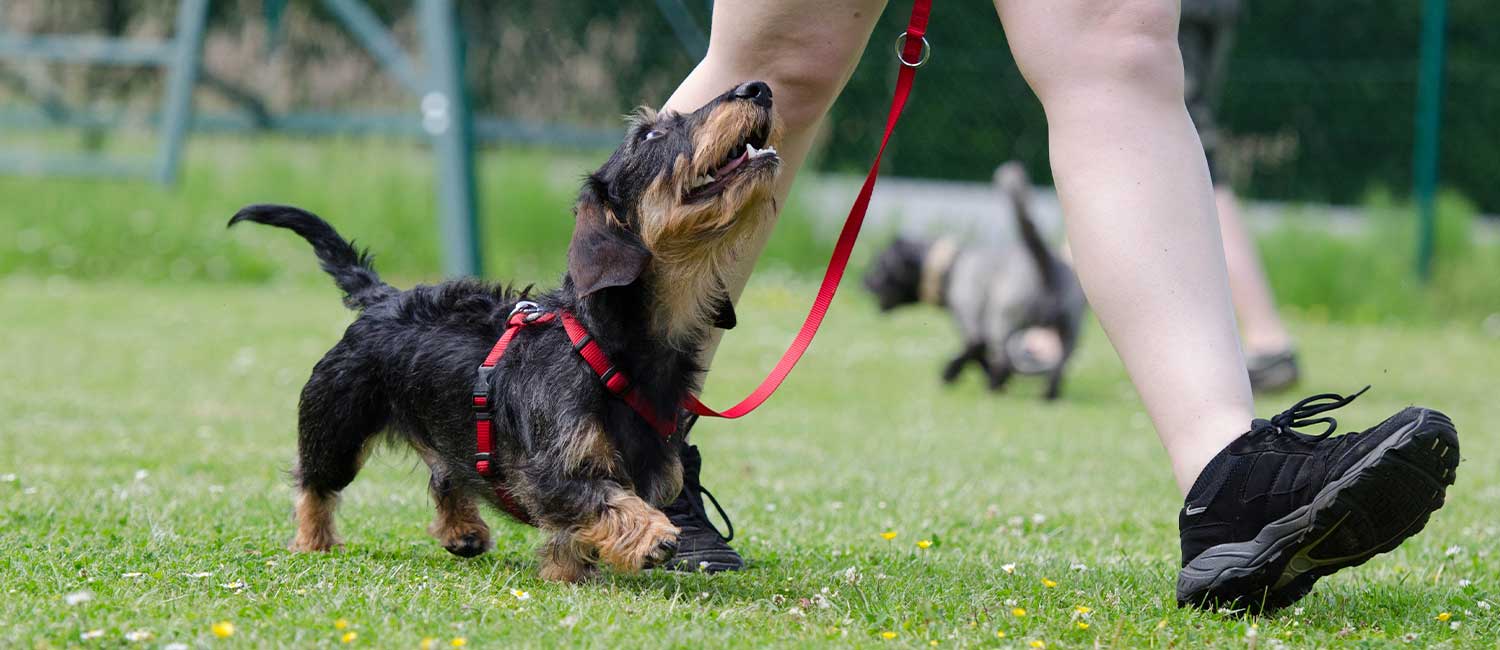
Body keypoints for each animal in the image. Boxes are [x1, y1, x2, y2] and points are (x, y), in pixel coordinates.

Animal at [231, 78, 786, 579]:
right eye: (650, 134)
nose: (757, 88)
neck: (605, 345)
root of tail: (384, 298)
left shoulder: (654, 470)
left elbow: (576, 532)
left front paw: (568, 572)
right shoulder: (552, 471)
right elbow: (604, 500)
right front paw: (651, 535)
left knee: (446, 474)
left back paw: (462, 530)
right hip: (336, 426)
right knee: (314, 483)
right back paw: (313, 540)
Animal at [864, 160, 1086, 399]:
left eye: (879, 265)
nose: (862, 281)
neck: (950, 266)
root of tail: (1046, 262)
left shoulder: (972, 322)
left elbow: (975, 351)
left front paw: (950, 373)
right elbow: (978, 354)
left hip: (1003, 321)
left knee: (1004, 359)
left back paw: (994, 386)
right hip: (1068, 331)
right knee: (1058, 367)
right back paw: (1047, 395)